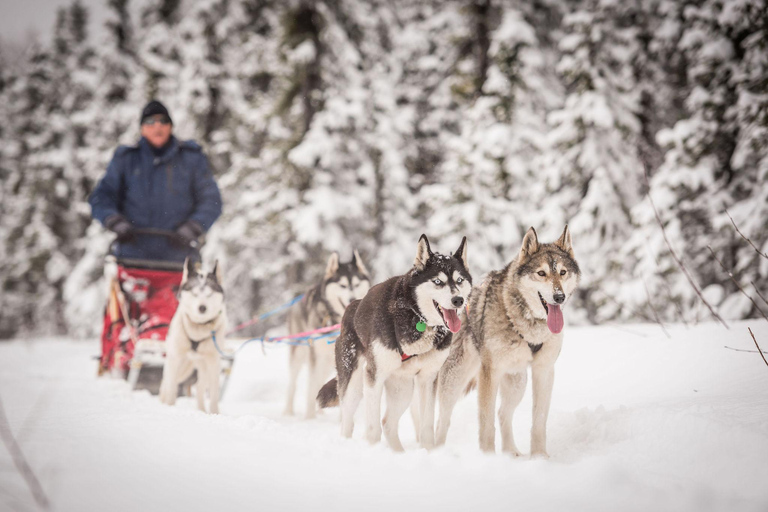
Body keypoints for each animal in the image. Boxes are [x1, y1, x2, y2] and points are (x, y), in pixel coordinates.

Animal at [158, 258, 226, 414]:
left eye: (209, 294)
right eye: (195, 294)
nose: (202, 308)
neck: (198, 330)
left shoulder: (213, 362)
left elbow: (213, 393)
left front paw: (214, 413)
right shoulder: (175, 359)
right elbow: (171, 387)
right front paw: (169, 406)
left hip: (202, 367)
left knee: (200, 387)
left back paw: (201, 410)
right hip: (179, 365)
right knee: (167, 382)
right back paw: (163, 401)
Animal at [286, 250, 374, 418]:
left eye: (357, 284)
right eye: (343, 285)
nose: (352, 298)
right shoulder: (315, 356)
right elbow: (312, 386)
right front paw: (309, 418)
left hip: (328, 362)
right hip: (299, 354)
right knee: (293, 384)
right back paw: (288, 411)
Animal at [318, 234, 474, 450]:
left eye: (459, 280)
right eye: (437, 281)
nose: (458, 300)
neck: (418, 319)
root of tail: (353, 306)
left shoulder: (428, 378)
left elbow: (426, 425)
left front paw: (429, 451)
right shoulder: (374, 376)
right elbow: (372, 429)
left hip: (404, 389)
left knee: (388, 423)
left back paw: (398, 453)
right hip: (354, 385)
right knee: (349, 420)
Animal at [436, 226, 580, 458]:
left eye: (563, 272)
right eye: (541, 273)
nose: (559, 297)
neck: (528, 325)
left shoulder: (544, 370)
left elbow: (539, 420)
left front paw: (540, 457)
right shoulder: (489, 372)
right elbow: (486, 422)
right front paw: (487, 457)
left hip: (517, 382)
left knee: (503, 413)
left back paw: (511, 453)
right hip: (454, 380)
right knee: (442, 419)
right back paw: (436, 452)